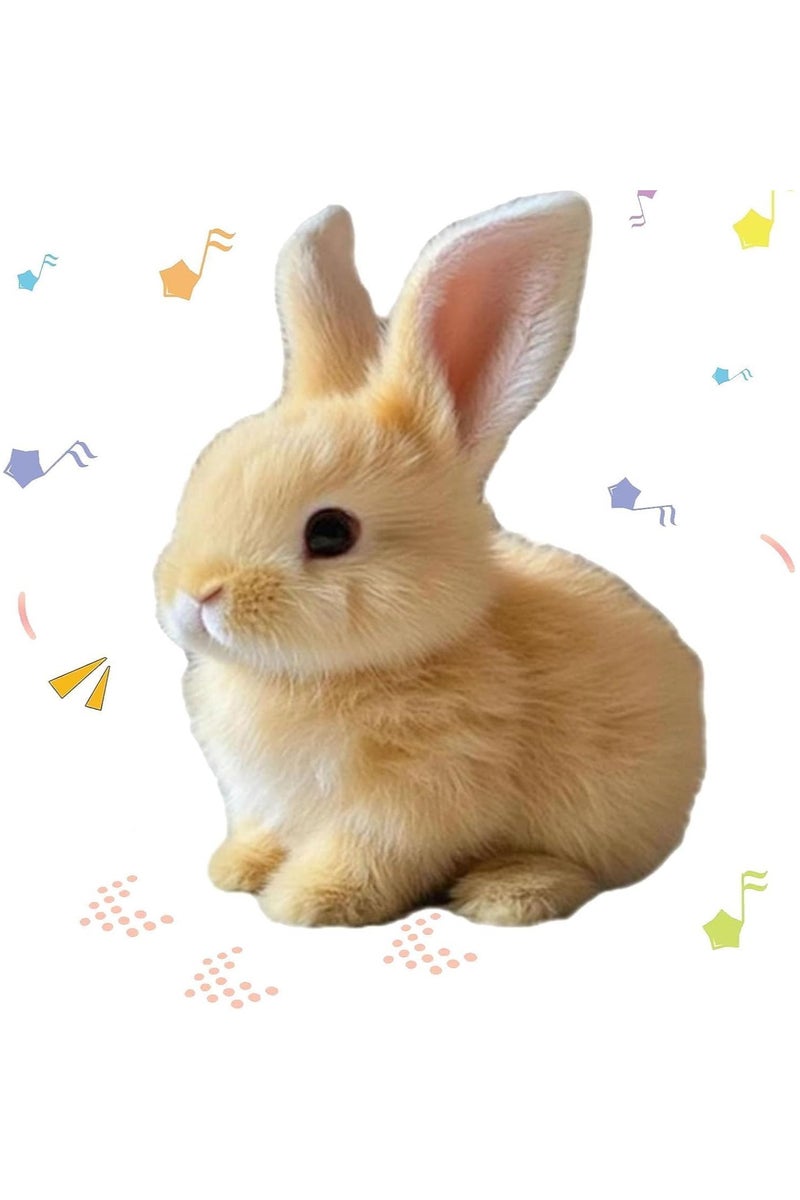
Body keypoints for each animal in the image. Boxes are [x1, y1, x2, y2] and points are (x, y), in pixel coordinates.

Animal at [154, 192, 705, 928]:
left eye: (330, 532)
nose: (196, 597)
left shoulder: (412, 802)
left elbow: (365, 856)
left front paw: (306, 901)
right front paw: (237, 869)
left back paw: (508, 893)